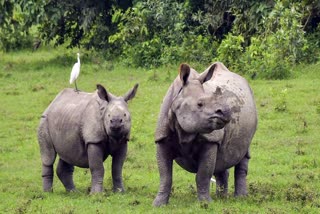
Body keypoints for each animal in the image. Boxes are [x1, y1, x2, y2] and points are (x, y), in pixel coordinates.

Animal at [153, 61, 258, 206]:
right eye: (200, 104)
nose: (226, 112)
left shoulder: (211, 140)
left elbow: (203, 174)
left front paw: (205, 203)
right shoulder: (162, 138)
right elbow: (165, 175)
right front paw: (158, 204)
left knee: (243, 154)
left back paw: (240, 198)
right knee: (222, 160)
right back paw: (222, 197)